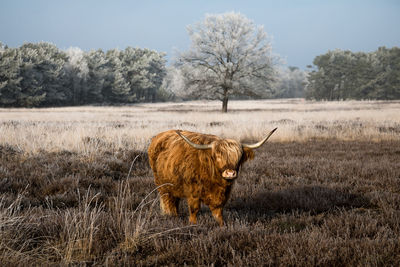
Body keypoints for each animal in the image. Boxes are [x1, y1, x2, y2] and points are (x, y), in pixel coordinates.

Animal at [148, 129, 276, 227]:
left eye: (238, 157)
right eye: (218, 156)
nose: (230, 173)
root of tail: (158, 136)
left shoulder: (222, 194)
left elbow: (218, 211)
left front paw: (222, 225)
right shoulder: (193, 193)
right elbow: (194, 209)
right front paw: (193, 224)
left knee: (175, 200)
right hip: (162, 185)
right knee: (168, 200)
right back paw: (171, 216)